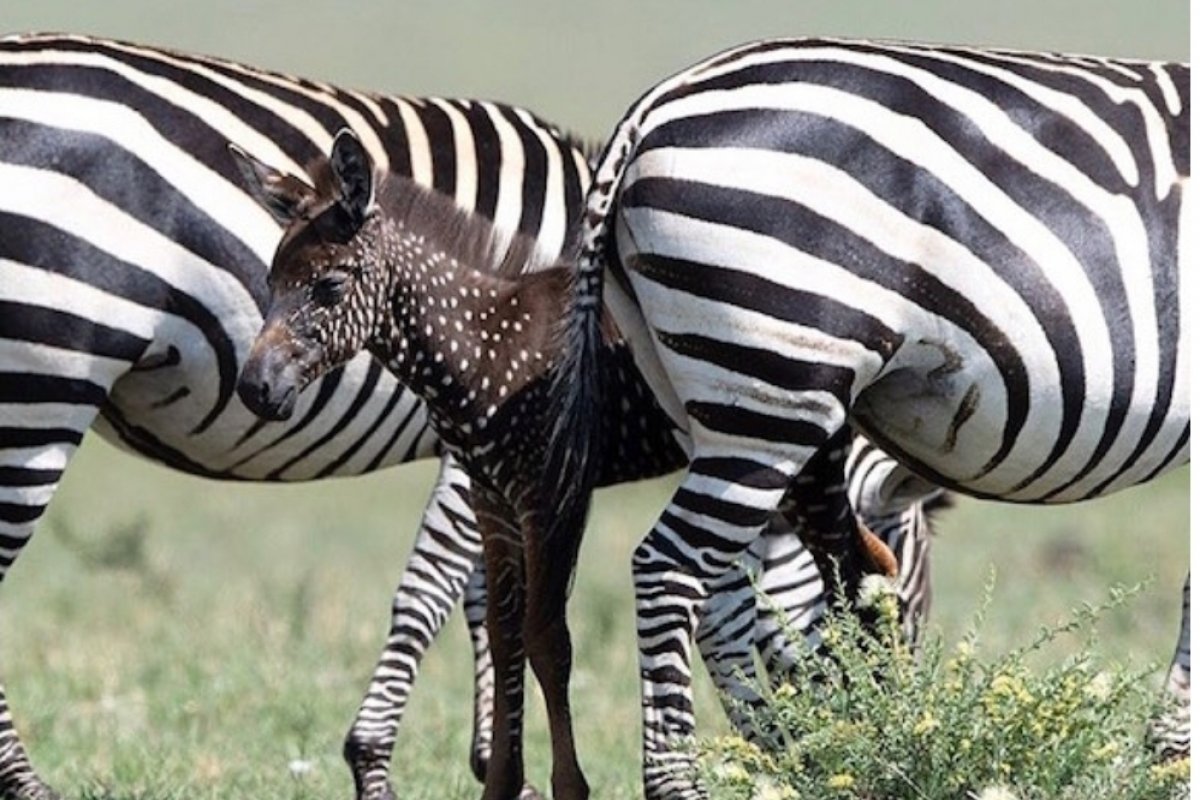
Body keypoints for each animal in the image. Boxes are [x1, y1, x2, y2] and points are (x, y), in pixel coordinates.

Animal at [0, 32, 940, 800]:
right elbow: (462, 601)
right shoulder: (492, 460)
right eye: (913, 603)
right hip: (41, 381)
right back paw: (29, 787)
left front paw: (494, 766)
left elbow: (497, 607)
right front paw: (410, 764)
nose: (876, 736)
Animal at [556, 38, 1190, 798]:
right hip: (777, 382)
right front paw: (1171, 760)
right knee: (669, 569)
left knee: (729, 588)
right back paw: (687, 781)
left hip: (713, 398)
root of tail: (652, 107)